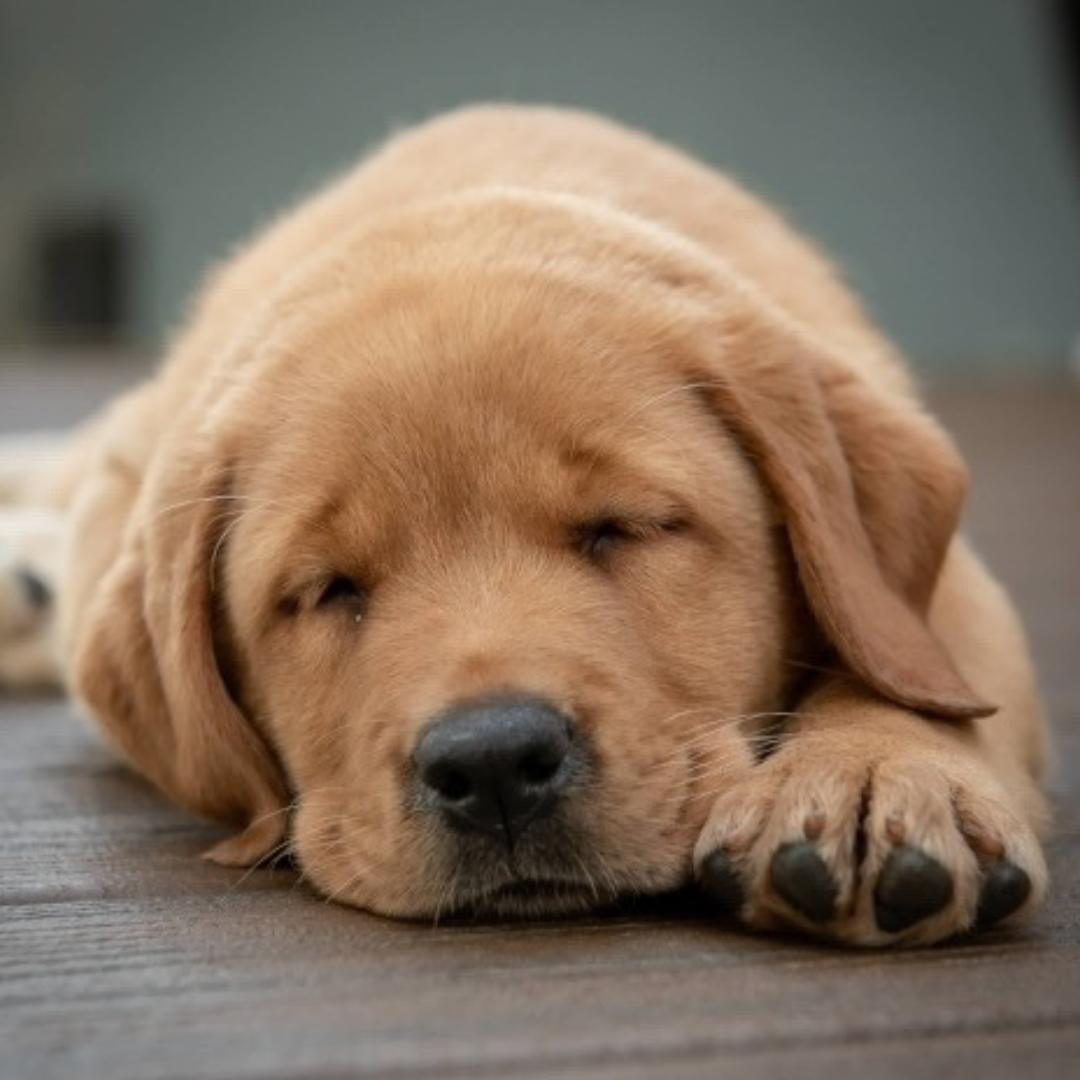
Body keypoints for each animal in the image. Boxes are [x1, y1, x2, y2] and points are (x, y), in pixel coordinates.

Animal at [0, 103, 1045, 946]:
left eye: (623, 528)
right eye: (328, 590)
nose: (494, 762)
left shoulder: (942, 584)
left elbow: (920, 659)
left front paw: (877, 773)